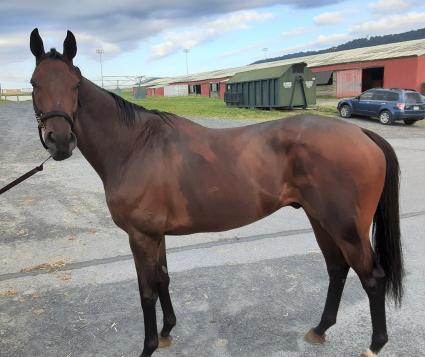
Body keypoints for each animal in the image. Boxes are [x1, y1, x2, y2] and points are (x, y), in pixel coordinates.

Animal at [29, 28, 400, 356]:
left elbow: (146, 292)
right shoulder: (155, 235)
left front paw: (148, 346)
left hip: (346, 229)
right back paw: (319, 329)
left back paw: (375, 345)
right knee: (337, 269)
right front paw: (166, 332)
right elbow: (163, 279)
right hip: (320, 220)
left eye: (75, 84)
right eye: (34, 83)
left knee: (372, 278)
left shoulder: (140, 236)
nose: (59, 141)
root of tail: (362, 133)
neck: (134, 146)